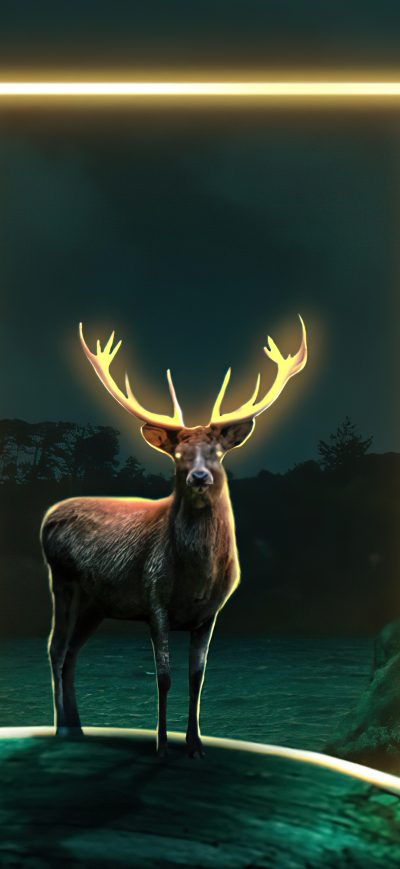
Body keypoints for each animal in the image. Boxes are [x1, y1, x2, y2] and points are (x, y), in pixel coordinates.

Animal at [40, 316, 307, 757]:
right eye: (178, 453)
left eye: (217, 452)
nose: (199, 477)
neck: (195, 580)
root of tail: (47, 517)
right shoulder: (155, 597)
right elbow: (163, 677)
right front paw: (162, 745)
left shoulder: (212, 612)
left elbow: (197, 678)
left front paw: (196, 744)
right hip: (62, 582)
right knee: (56, 648)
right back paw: (62, 729)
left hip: (97, 602)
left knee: (73, 652)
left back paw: (77, 728)